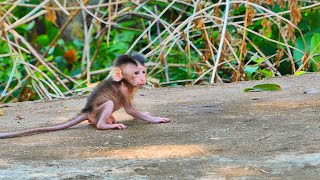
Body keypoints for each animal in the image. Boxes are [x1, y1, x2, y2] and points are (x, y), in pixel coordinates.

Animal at [0, 53, 170, 138]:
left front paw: (146, 114)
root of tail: (88, 113)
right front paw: (156, 119)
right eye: (136, 73)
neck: (126, 83)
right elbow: (130, 110)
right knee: (107, 106)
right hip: (97, 113)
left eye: (143, 71)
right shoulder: (122, 92)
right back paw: (106, 125)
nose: (143, 78)